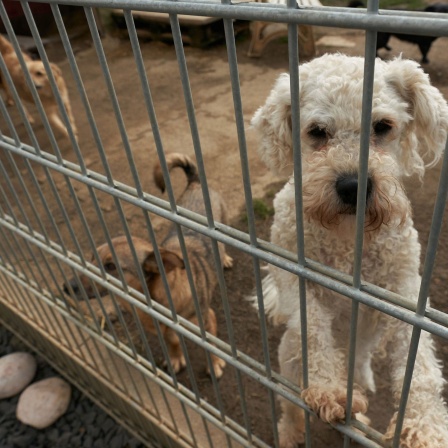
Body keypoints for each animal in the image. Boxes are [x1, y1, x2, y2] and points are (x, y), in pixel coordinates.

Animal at [65, 154, 233, 378]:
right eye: (92, 257)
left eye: (110, 266)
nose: (66, 287)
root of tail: (195, 183)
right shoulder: (165, 331)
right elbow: (172, 342)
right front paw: (176, 358)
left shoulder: (207, 322)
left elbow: (210, 349)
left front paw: (214, 365)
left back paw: (225, 259)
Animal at [250, 53, 448, 448]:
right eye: (317, 132)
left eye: (383, 126)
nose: (353, 185)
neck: (346, 241)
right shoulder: (291, 273)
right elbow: (313, 327)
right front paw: (329, 389)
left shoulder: (404, 290)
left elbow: (419, 362)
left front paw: (425, 424)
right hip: (288, 367)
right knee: (289, 408)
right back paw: (291, 432)